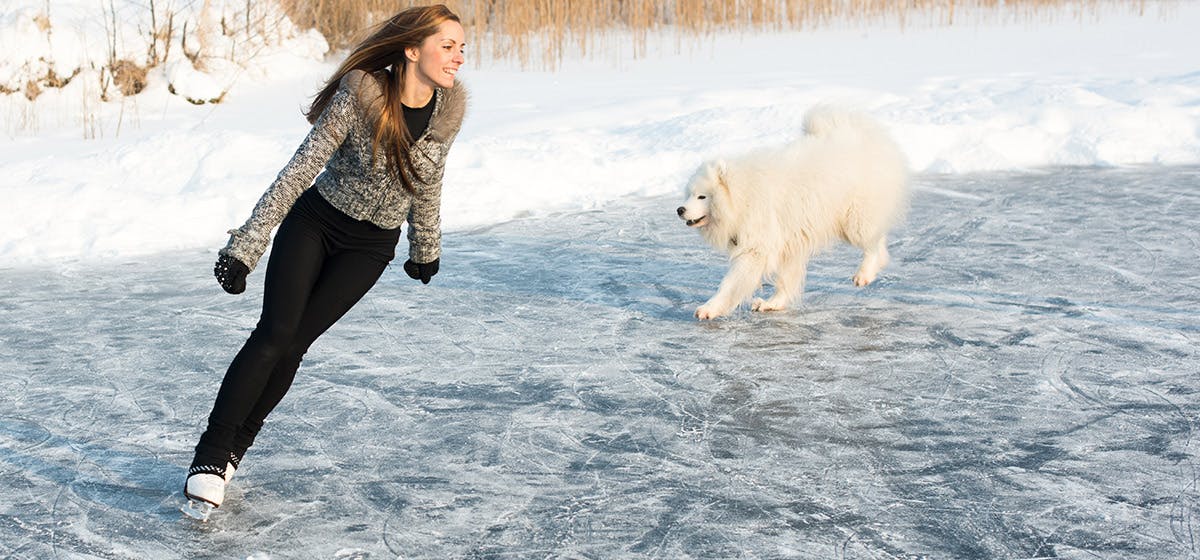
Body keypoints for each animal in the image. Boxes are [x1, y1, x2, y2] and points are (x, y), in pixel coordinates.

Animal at [676, 105, 907, 321]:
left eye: (702, 196)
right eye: (689, 194)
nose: (680, 210)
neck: (743, 195)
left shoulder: (758, 240)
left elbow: (733, 281)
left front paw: (709, 309)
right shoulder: (785, 240)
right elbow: (786, 277)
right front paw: (771, 303)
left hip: (853, 217)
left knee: (873, 241)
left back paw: (864, 274)